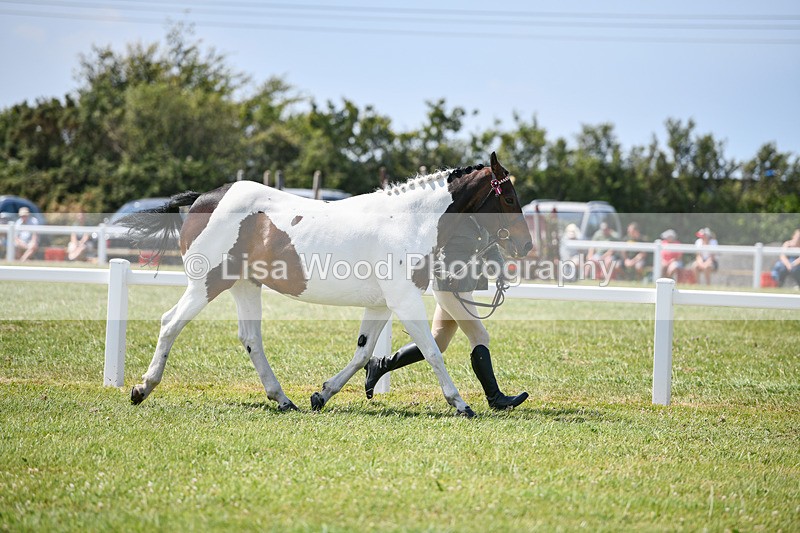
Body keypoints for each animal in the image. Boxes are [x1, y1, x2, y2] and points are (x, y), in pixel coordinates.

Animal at [120, 152, 532, 417]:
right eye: (509, 197)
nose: (525, 245)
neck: (406, 221)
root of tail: (204, 198)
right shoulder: (404, 300)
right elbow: (431, 351)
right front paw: (461, 404)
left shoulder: (381, 304)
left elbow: (364, 353)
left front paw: (322, 395)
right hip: (207, 283)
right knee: (171, 322)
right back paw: (142, 389)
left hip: (245, 285)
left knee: (251, 339)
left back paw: (284, 400)